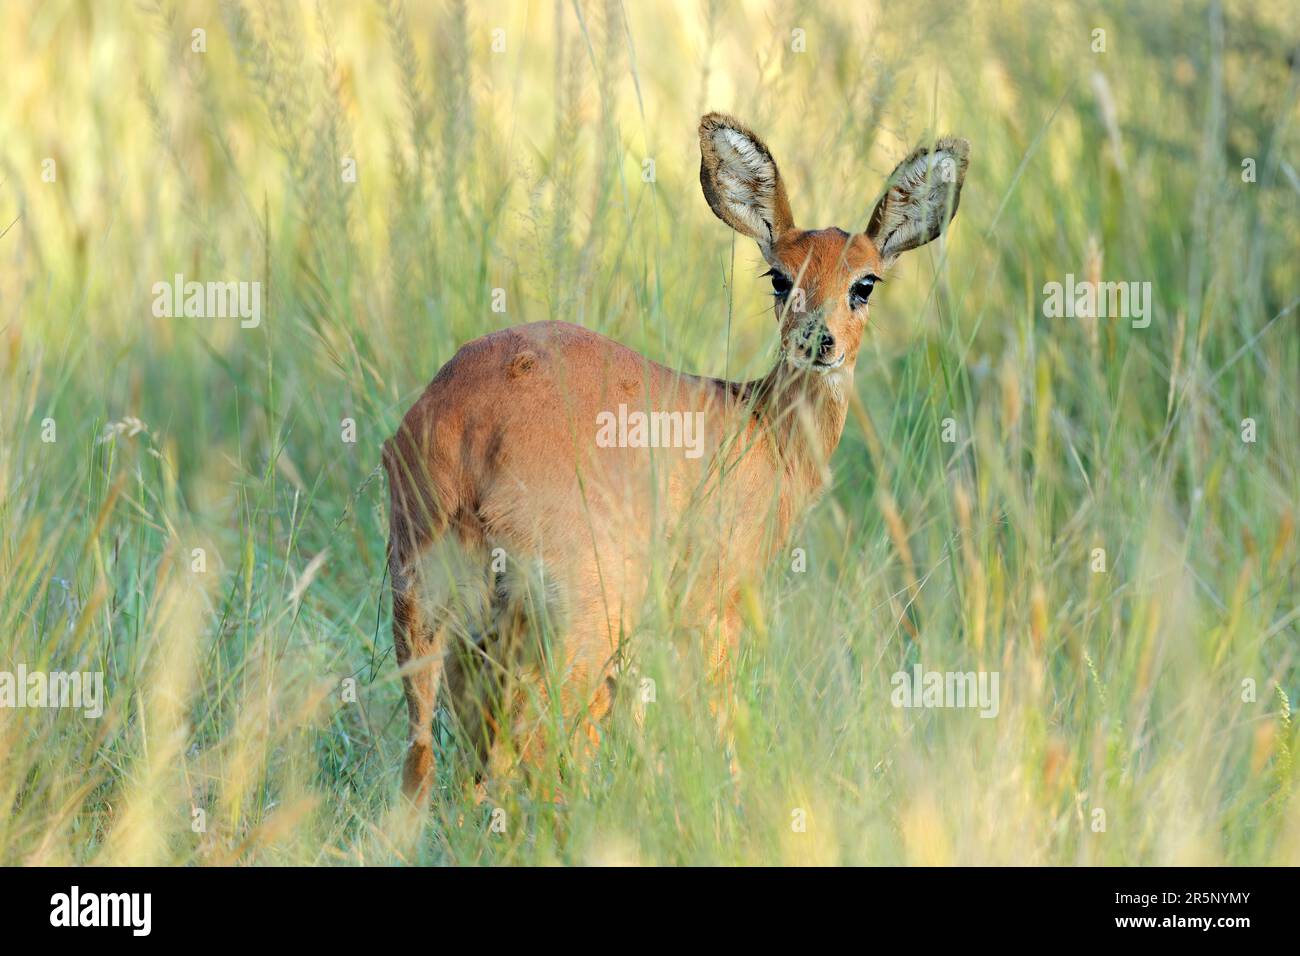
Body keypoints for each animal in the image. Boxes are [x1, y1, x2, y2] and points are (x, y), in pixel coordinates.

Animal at [379, 111, 972, 806]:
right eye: (780, 276)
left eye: (865, 282)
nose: (817, 341)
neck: (762, 431)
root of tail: (468, 436)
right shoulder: (715, 607)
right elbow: (720, 720)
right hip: (577, 615)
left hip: (427, 607)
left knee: (427, 760)